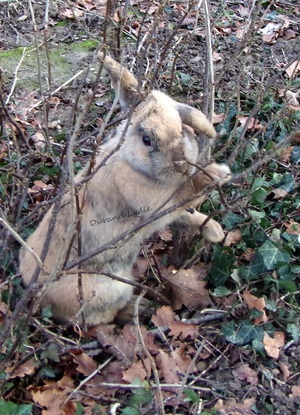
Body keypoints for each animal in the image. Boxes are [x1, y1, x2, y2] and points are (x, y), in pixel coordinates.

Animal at [18, 52, 231, 328]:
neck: (131, 162)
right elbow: (185, 194)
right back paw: (140, 311)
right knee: (101, 318)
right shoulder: (158, 204)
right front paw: (217, 174)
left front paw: (215, 231)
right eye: (147, 140)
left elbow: (187, 215)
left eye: (182, 128)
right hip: (109, 291)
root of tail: (33, 293)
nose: (182, 165)